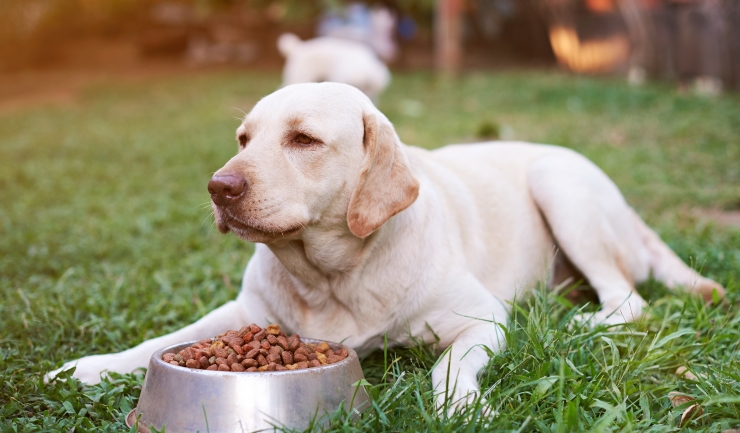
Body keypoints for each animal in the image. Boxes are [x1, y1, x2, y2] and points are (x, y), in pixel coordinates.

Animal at [49, 81, 724, 408]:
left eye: (304, 140)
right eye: (244, 138)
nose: (219, 187)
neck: (331, 277)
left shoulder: (482, 320)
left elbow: (449, 368)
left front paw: (461, 406)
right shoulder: (245, 314)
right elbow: (160, 342)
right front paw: (88, 367)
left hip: (560, 184)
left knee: (630, 301)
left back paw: (577, 321)